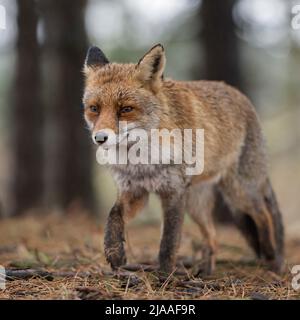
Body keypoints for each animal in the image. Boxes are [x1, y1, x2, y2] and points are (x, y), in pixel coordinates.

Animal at [81, 44, 284, 276]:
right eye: (94, 108)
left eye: (125, 109)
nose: (100, 138)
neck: (142, 163)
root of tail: (242, 96)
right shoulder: (135, 192)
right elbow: (113, 216)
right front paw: (115, 252)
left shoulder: (174, 191)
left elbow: (169, 241)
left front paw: (165, 275)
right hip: (197, 204)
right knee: (213, 237)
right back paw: (206, 271)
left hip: (238, 192)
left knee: (263, 214)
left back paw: (271, 256)